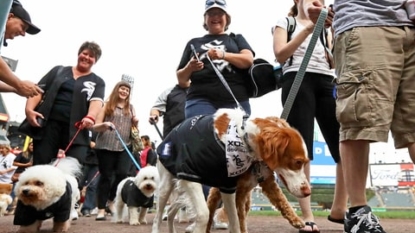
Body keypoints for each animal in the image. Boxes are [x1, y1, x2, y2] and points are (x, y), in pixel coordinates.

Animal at [151, 109, 310, 233]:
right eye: (298, 162)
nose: (308, 192)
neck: (242, 136)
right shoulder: (189, 176)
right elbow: (204, 214)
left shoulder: (228, 186)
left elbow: (235, 222)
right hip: (166, 186)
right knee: (157, 218)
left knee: (171, 211)